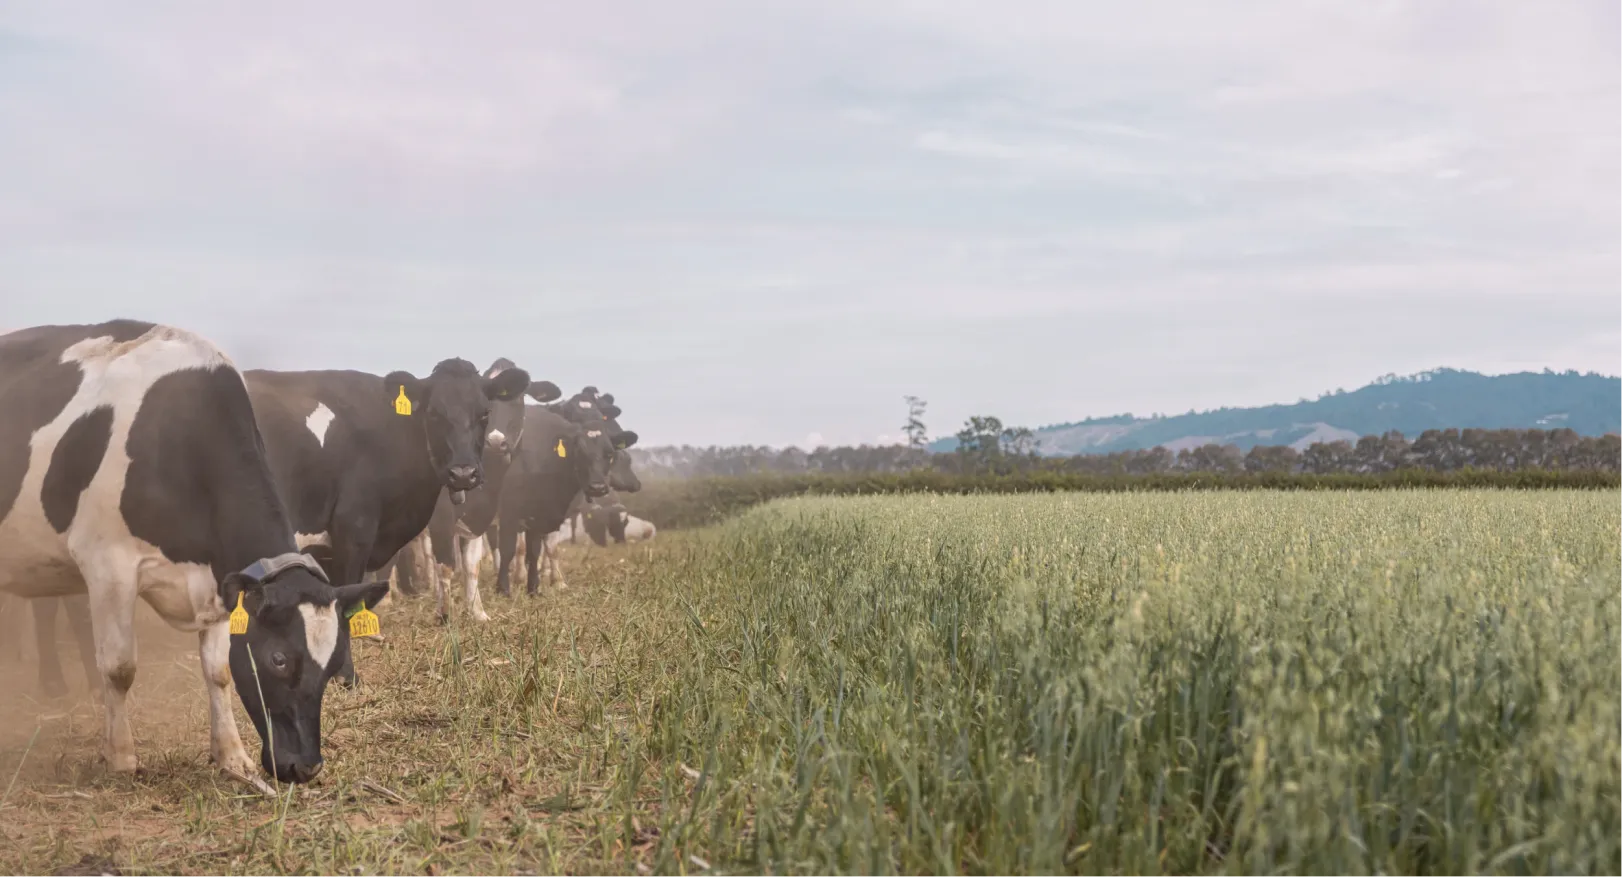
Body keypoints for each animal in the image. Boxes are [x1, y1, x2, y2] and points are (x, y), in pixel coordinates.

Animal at [0, 320, 388, 786]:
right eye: (278, 659)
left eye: (333, 667)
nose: (306, 766)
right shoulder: (108, 565)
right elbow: (119, 667)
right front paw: (121, 756)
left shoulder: (222, 581)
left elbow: (218, 671)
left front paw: (231, 756)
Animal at [241, 357, 559, 680]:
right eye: (433, 413)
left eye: (484, 413)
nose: (463, 473)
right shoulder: (354, 530)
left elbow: (471, 566)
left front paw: (479, 614)